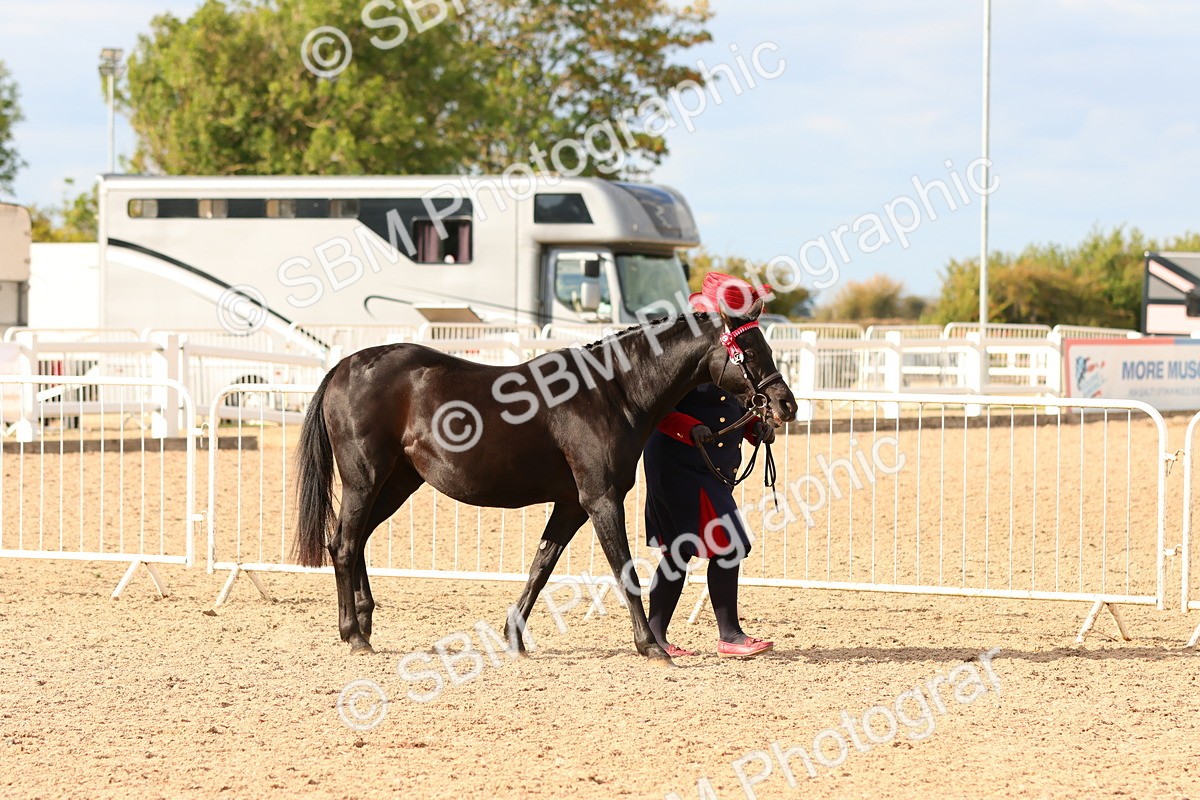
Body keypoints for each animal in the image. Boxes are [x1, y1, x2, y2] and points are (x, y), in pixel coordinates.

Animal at [292, 298, 798, 661]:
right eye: (750, 351)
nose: (785, 404)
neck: (611, 392)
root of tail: (344, 366)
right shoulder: (600, 499)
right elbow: (624, 569)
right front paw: (650, 647)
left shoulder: (571, 505)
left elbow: (541, 566)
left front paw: (514, 637)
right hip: (364, 479)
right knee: (344, 544)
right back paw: (353, 635)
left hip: (397, 483)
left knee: (355, 541)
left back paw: (365, 622)